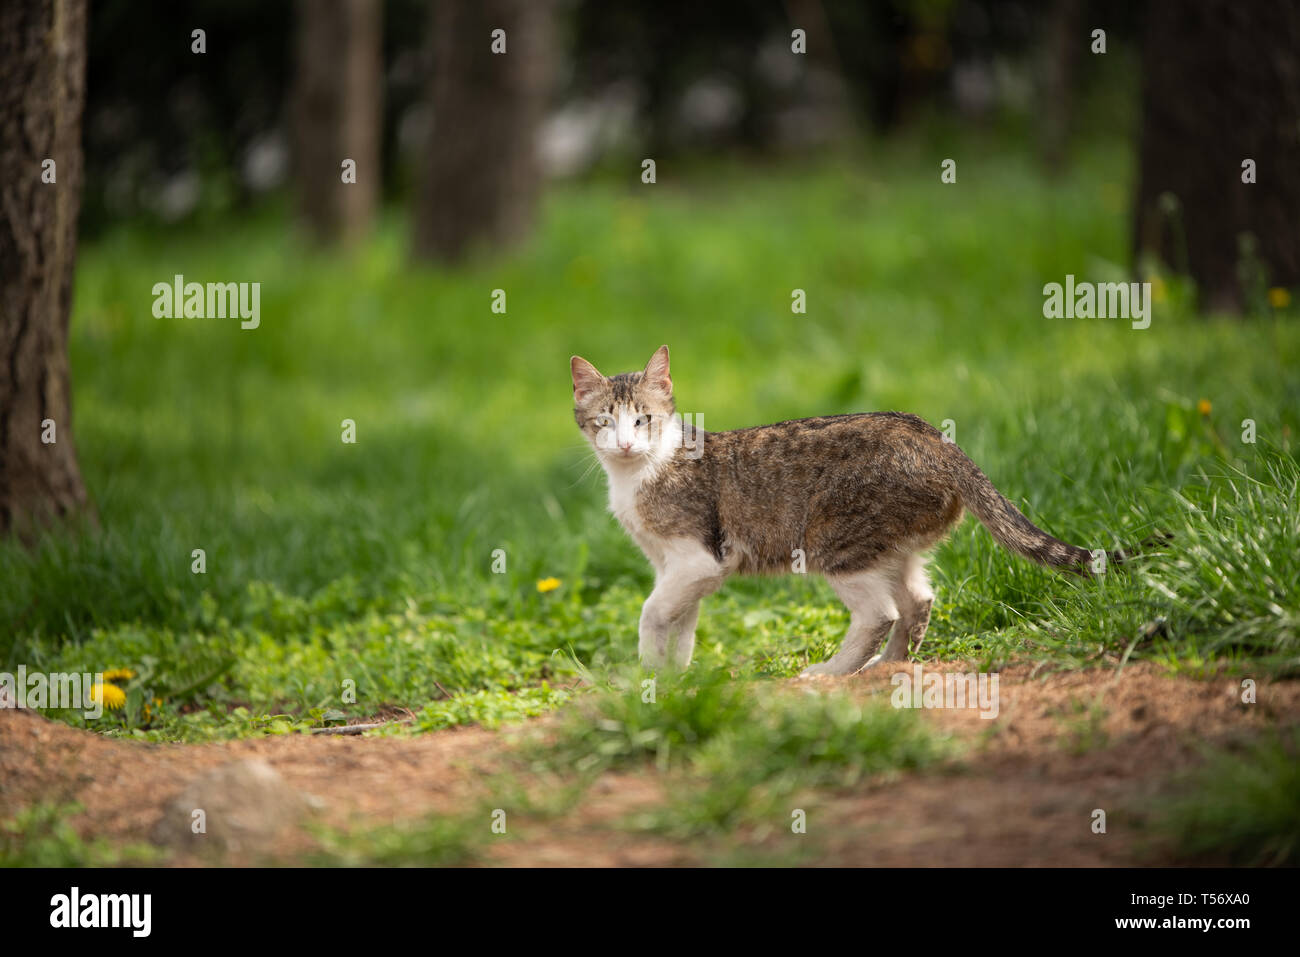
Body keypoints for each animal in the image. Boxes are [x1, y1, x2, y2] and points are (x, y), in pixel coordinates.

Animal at [574, 348, 1123, 676]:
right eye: (604, 421)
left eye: (643, 420)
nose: (624, 443)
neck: (637, 474)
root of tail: (934, 437)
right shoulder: (673, 567)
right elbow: (681, 623)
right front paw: (672, 678)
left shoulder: (698, 559)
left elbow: (652, 612)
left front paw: (648, 673)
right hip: (893, 545)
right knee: (918, 600)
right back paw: (887, 666)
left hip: (834, 541)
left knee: (880, 612)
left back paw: (833, 672)